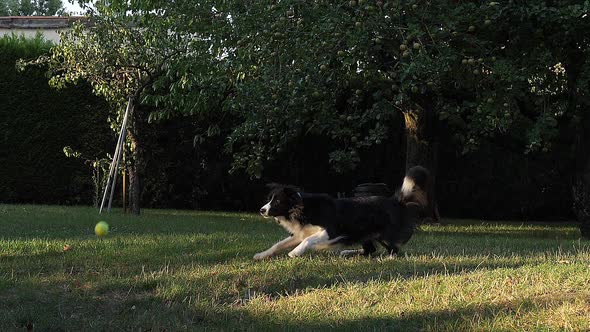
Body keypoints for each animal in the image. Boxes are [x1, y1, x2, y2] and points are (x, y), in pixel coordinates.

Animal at [256, 166, 434, 260]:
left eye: (277, 202)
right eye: (269, 199)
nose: (261, 210)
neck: (302, 208)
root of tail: (396, 200)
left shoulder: (331, 230)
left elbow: (308, 240)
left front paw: (295, 252)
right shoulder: (300, 233)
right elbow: (278, 244)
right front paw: (261, 254)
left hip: (384, 234)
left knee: (392, 248)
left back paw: (388, 257)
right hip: (365, 233)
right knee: (370, 250)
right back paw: (349, 252)